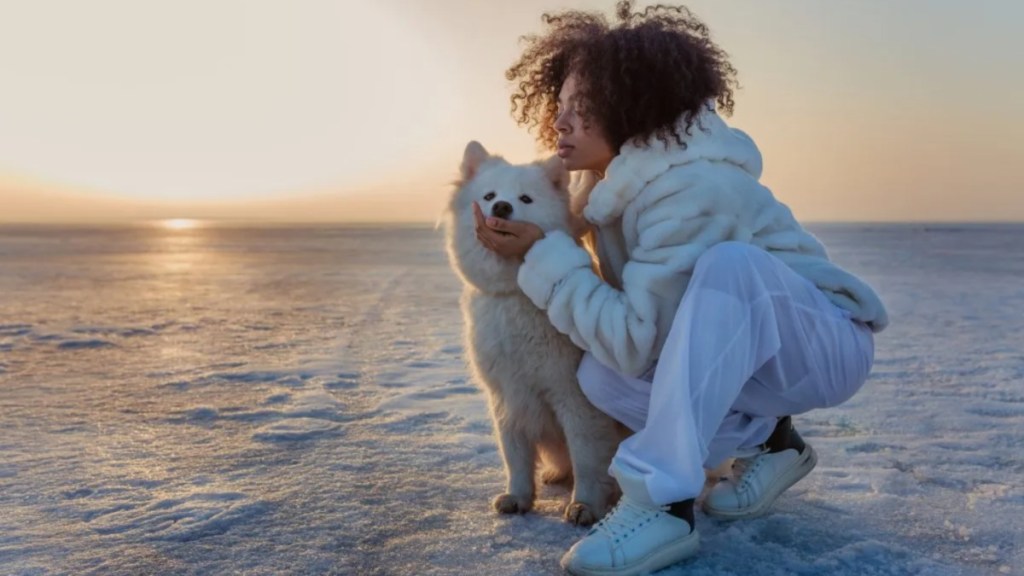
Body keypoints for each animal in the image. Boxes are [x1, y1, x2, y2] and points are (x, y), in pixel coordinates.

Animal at [442, 140, 618, 524]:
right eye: (489, 195)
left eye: (525, 199)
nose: (502, 207)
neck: (516, 292)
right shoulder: (507, 394)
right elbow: (515, 454)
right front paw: (518, 497)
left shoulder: (574, 397)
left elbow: (586, 455)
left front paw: (584, 504)